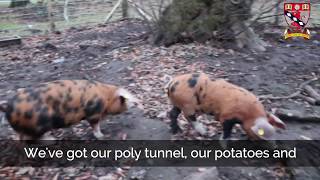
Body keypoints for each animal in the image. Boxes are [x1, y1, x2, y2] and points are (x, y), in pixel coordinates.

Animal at [0, 80, 142, 141]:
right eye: (128, 101)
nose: (140, 105)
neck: (106, 98)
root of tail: (7, 106)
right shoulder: (93, 113)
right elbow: (95, 125)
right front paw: (102, 136)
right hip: (38, 124)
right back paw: (51, 139)